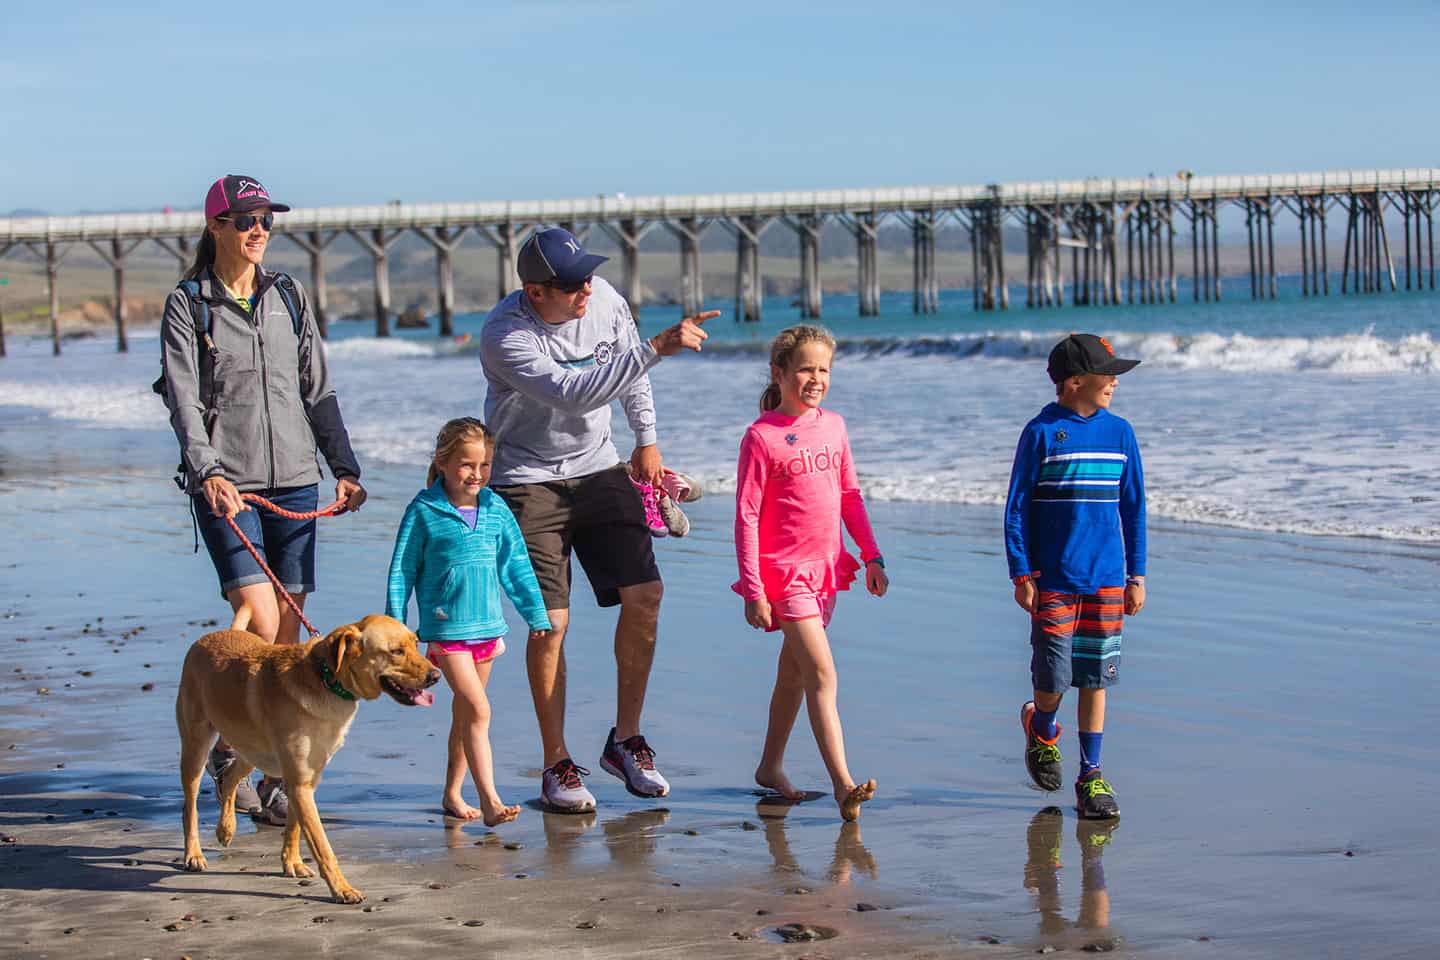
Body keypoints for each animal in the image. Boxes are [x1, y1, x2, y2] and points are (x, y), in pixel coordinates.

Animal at [176, 616, 432, 903]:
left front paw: (291, 862)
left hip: (253, 752)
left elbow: (295, 827)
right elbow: (321, 845)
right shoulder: (299, 782)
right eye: (396, 651)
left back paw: (226, 828)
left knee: (230, 778)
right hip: (196, 748)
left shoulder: (306, 780)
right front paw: (341, 889)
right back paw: (193, 854)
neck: (326, 678)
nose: (436, 675)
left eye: (416, 643)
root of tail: (208, 637)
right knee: (190, 808)